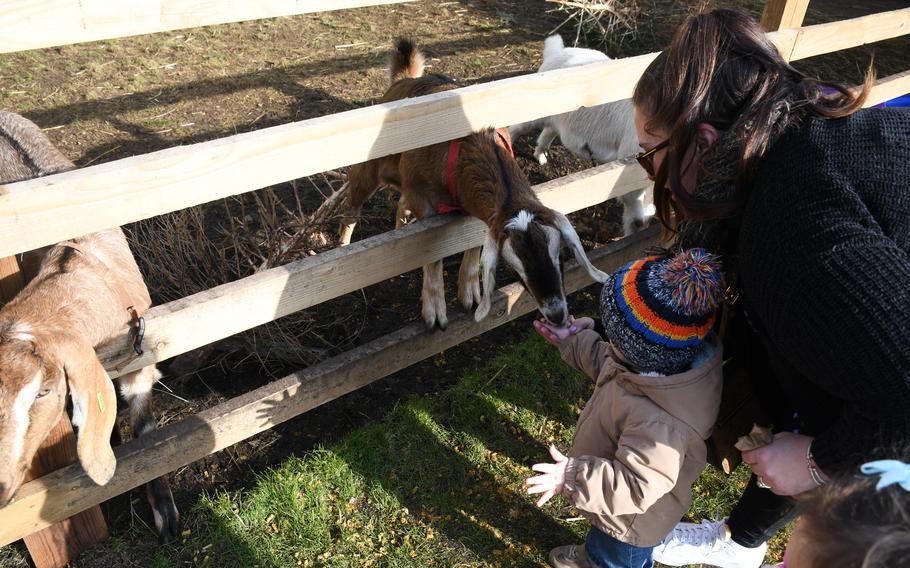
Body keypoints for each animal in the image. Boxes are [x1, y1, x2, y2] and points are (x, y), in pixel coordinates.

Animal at [338, 38, 608, 328]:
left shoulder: (478, 210)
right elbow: (433, 255)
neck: (471, 144)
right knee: (352, 207)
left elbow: (473, 242)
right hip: (368, 168)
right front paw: (434, 311)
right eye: (514, 267)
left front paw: (470, 293)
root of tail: (403, 81)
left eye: (559, 255)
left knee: (400, 204)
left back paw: (400, 227)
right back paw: (343, 248)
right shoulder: (423, 200)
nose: (557, 315)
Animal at [510, 33, 652, 235]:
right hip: (536, 111)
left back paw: (541, 156)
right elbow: (636, 214)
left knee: (549, 131)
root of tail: (558, 51)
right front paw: (633, 233)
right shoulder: (630, 160)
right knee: (516, 127)